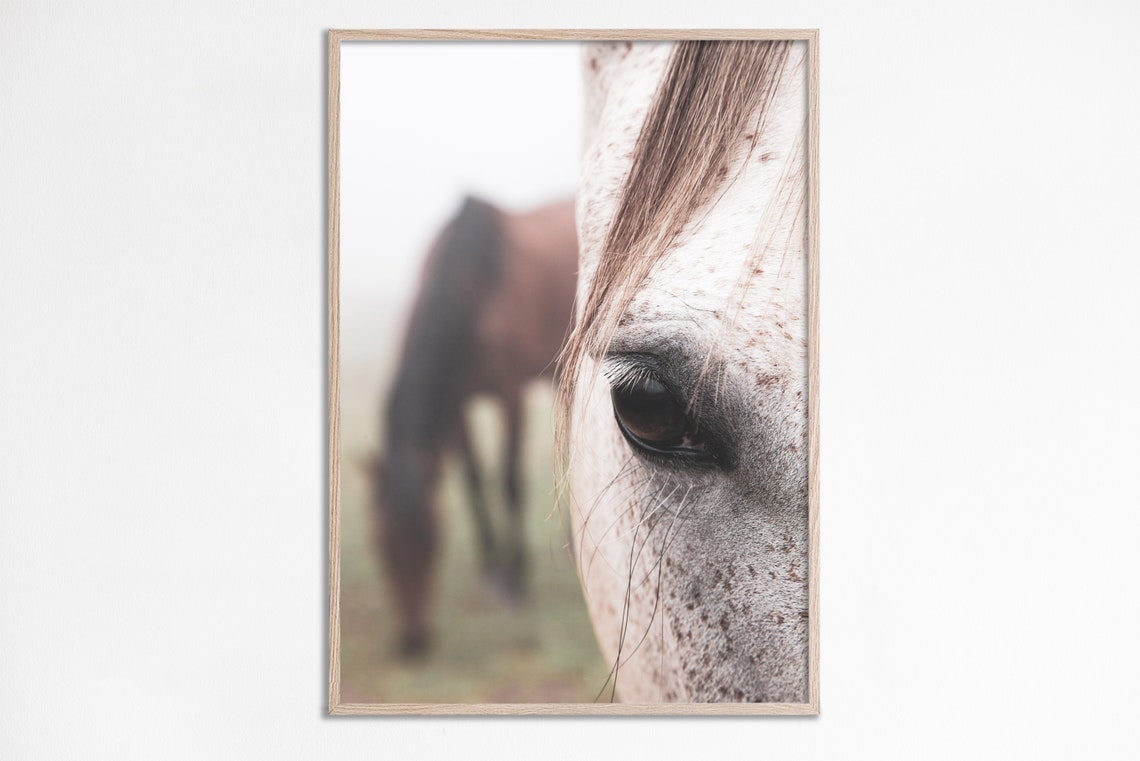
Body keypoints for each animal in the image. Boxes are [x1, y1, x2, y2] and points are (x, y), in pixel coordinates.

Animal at [368, 195, 578, 656]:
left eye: (433, 542)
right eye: (381, 547)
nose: (413, 642)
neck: (472, 284)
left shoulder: (510, 394)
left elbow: (510, 480)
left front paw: (515, 580)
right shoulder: (459, 403)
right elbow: (474, 480)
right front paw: (491, 572)